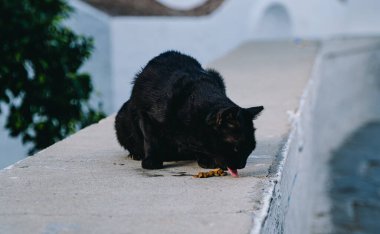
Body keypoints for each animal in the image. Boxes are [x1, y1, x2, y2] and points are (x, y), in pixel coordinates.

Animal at [114, 50, 262, 176]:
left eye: (251, 148)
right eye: (236, 148)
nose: (242, 165)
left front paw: (206, 159)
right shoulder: (146, 115)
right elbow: (150, 139)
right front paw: (151, 161)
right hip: (122, 118)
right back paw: (136, 154)